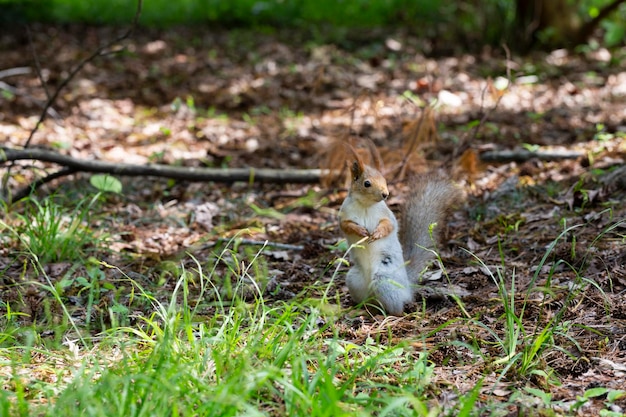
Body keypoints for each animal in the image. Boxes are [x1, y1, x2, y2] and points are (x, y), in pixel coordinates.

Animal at [338, 141, 460, 314]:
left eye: (384, 179)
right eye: (367, 183)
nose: (385, 194)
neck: (365, 205)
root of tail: (406, 287)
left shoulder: (387, 215)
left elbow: (389, 225)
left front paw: (377, 234)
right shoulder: (344, 215)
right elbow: (346, 226)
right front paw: (360, 231)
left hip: (384, 281)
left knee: (396, 307)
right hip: (354, 279)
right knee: (369, 301)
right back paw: (361, 308)